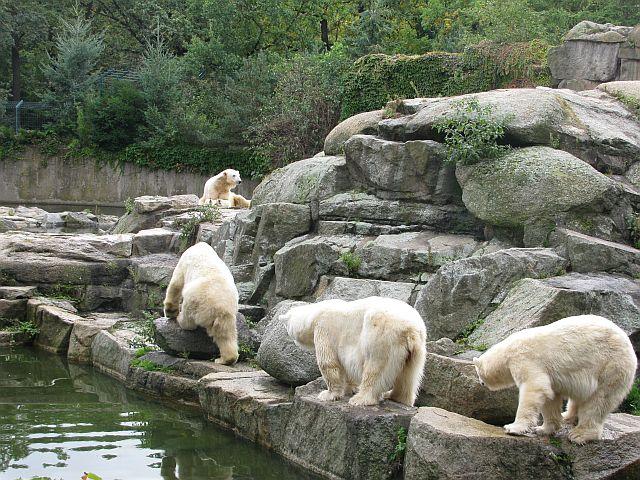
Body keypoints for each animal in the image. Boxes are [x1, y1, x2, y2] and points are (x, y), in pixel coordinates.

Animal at [282, 296, 427, 407]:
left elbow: (329, 363)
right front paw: (350, 388)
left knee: (375, 369)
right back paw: (396, 396)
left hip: (381, 337)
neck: (315, 315)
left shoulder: (325, 329)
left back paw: (360, 399)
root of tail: (411, 329)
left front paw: (328, 394)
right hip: (416, 348)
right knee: (409, 374)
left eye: (287, 326)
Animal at [473, 314, 637, 444]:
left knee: (599, 401)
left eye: (478, 373)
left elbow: (534, 388)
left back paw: (579, 435)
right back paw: (567, 416)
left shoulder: (525, 359)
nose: (481, 383)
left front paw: (513, 428)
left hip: (610, 367)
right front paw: (543, 428)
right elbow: (550, 397)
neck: (508, 351)